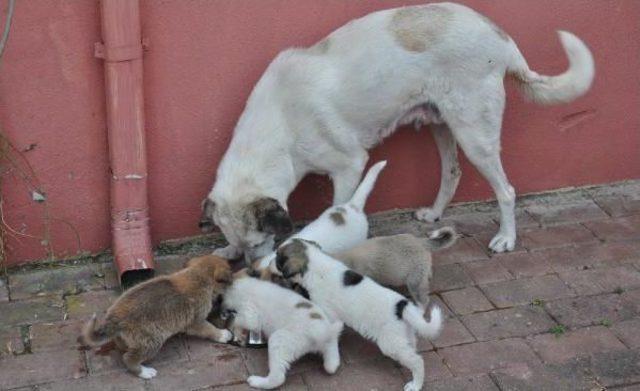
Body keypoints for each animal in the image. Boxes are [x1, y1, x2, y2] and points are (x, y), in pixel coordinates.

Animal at [80, 256, 234, 378]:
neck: (198, 275)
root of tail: (114, 319)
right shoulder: (196, 321)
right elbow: (209, 329)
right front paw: (223, 334)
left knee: (122, 346)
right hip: (152, 341)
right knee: (128, 358)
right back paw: (144, 372)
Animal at [201, 3, 596, 262]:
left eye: (259, 242)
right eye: (245, 245)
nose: (251, 267)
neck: (278, 128)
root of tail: (501, 38)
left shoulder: (349, 166)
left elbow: (338, 208)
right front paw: (227, 249)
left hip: (475, 133)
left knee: (507, 191)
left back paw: (505, 238)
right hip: (442, 125)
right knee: (453, 172)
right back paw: (434, 214)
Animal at [276, 239, 444, 391]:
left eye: (278, 257)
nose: (272, 261)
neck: (315, 263)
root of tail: (402, 306)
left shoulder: (330, 316)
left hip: (390, 343)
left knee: (418, 361)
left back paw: (415, 385)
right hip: (403, 336)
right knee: (412, 350)